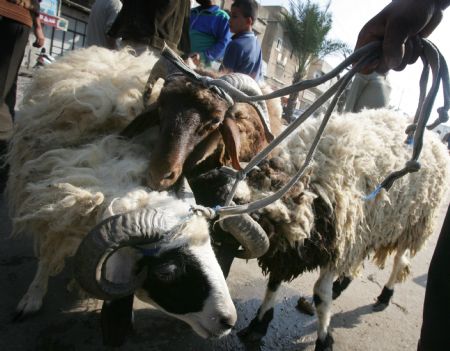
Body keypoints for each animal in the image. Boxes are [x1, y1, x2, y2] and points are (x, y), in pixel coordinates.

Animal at [189, 109, 450, 351]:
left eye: (221, 243)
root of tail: (434, 138)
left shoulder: (334, 245)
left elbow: (320, 296)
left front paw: (324, 340)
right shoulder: (292, 247)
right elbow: (274, 283)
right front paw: (258, 325)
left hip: (412, 224)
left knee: (399, 261)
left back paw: (385, 295)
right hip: (367, 231)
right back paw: (341, 286)